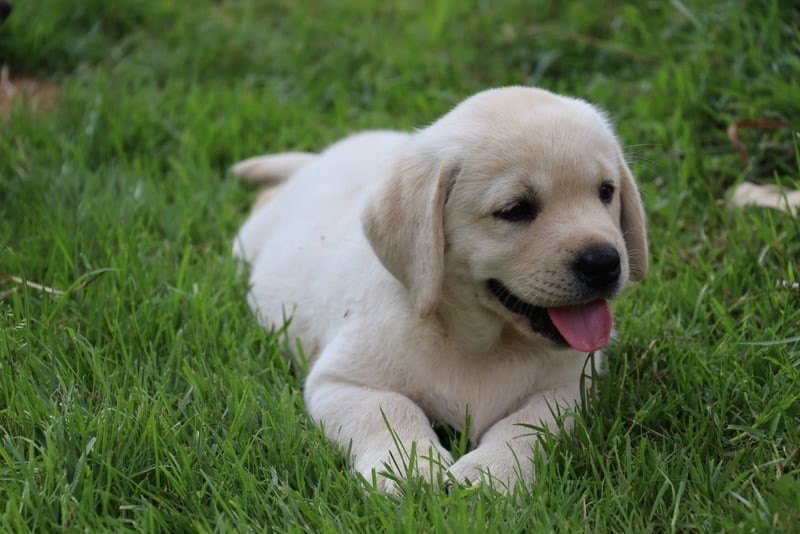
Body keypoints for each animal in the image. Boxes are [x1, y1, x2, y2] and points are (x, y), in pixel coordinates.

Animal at [231, 87, 644, 494]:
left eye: (606, 192)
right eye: (515, 209)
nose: (605, 263)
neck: (482, 343)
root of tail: (316, 161)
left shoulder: (571, 388)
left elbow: (529, 425)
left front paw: (490, 472)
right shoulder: (340, 381)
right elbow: (389, 408)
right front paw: (408, 467)